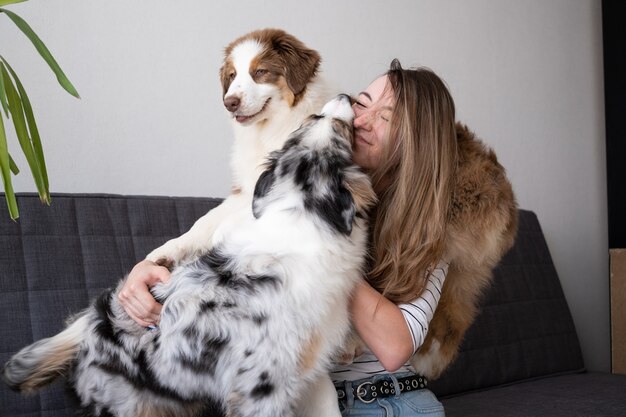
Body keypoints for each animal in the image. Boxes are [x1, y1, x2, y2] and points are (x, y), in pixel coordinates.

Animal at [145, 28, 336, 264]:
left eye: (261, 71)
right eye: (232, 75)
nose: (229, 103)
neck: (266, 133)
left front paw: (223, 237)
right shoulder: (243, 188)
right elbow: (205, 220)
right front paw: (166, 251)